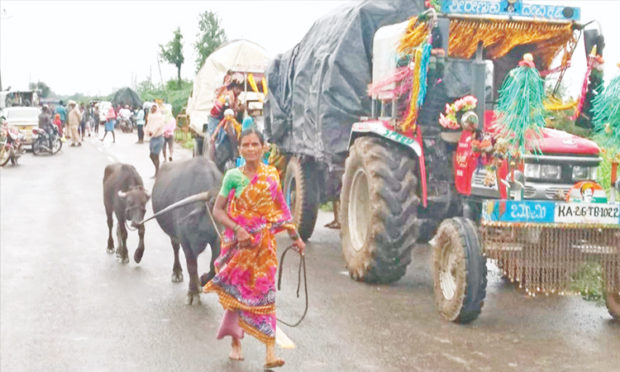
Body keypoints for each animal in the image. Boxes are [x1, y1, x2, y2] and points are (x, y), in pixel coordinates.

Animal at [152, 155, 224, 304]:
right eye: (214, 205)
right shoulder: (186, 241)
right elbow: (191, 266)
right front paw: (193, 292)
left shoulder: (215, 240)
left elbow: (213, 265)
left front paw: (202, 280)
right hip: (174, 236)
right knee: (175, 248)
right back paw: (177, 272)